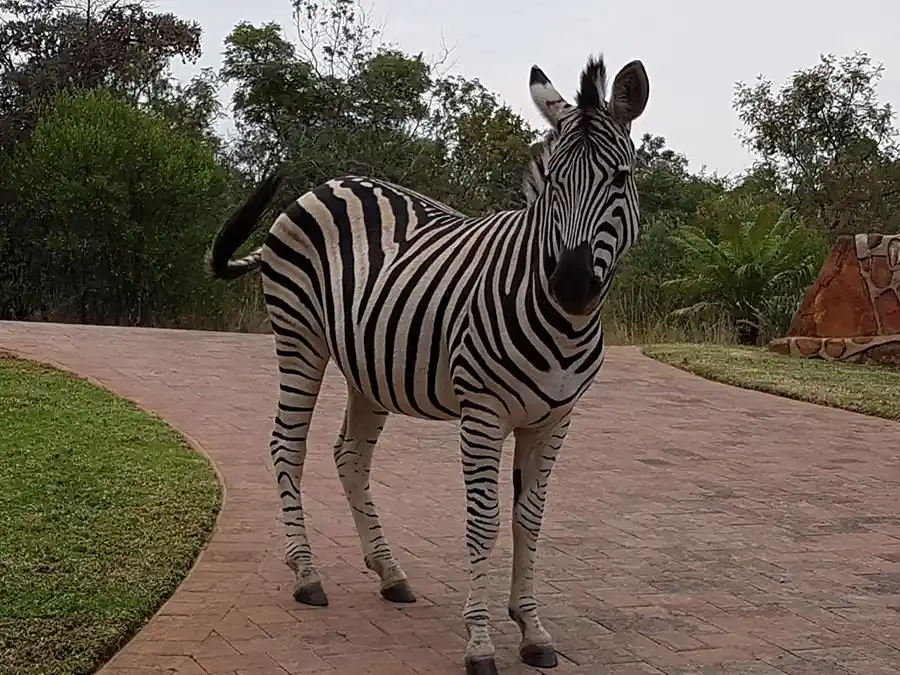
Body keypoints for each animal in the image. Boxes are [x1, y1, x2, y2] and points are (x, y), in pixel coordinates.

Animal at [206, 53, 649, 675]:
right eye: (551, 184)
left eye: (620, 179)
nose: (571, 284)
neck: (561, 323)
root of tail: (327, 184)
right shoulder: (484, 413)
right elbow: (485, 520)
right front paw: (480, 642)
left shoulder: (555, 420)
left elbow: (530, 519)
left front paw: (532, 629)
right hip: (300, 336)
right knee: (286, 445)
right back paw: (307, 574)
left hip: (368, 368)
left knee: (350, 457)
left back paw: (389, 573)